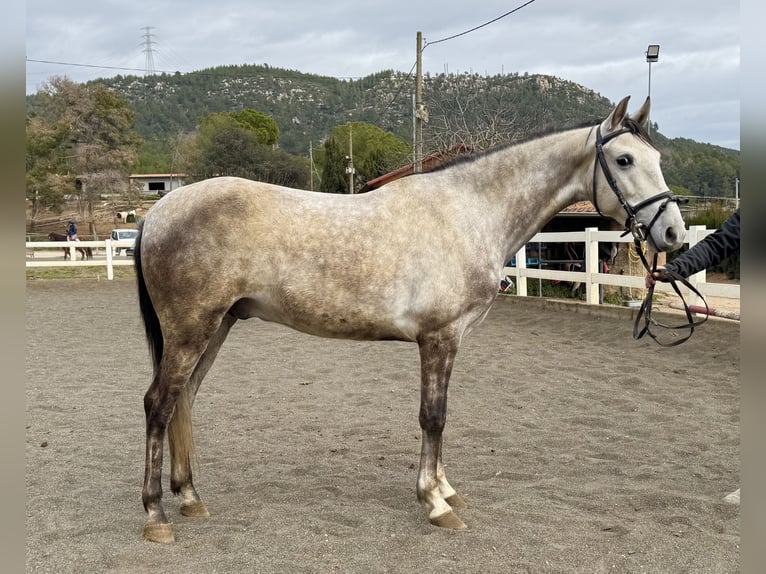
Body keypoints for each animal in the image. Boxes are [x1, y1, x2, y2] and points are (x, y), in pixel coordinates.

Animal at [135, 98, 688, 544]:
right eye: (624, 160)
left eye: (658, 160)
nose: (674, 235)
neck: (469, 212)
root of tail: (160, 209)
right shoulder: (438, 338)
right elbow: (433, 417)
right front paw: (435, 503)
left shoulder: (450, 340)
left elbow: (441, 417)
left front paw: (445, 489)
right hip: (192, 328)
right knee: (159, 404)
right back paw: (156, 515)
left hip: (217, 326)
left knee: (184, 399)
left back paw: (190, 498)